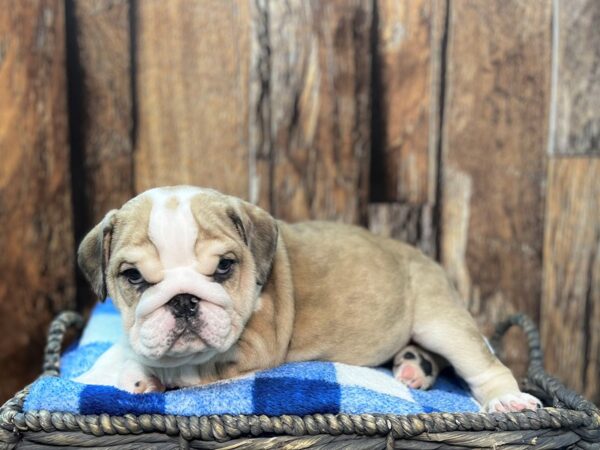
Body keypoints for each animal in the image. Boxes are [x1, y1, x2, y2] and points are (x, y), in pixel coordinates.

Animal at [75, 185, 540, 412]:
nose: (184, 300)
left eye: (224, 267)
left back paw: (507, 400)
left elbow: (182, 366)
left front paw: (142, 371)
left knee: (483, 363)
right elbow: (125, 345)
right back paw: (414, 367)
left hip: (440, 320)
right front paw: (113, 368)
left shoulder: (249, 349)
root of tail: (423, 256)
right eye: (133, 277)